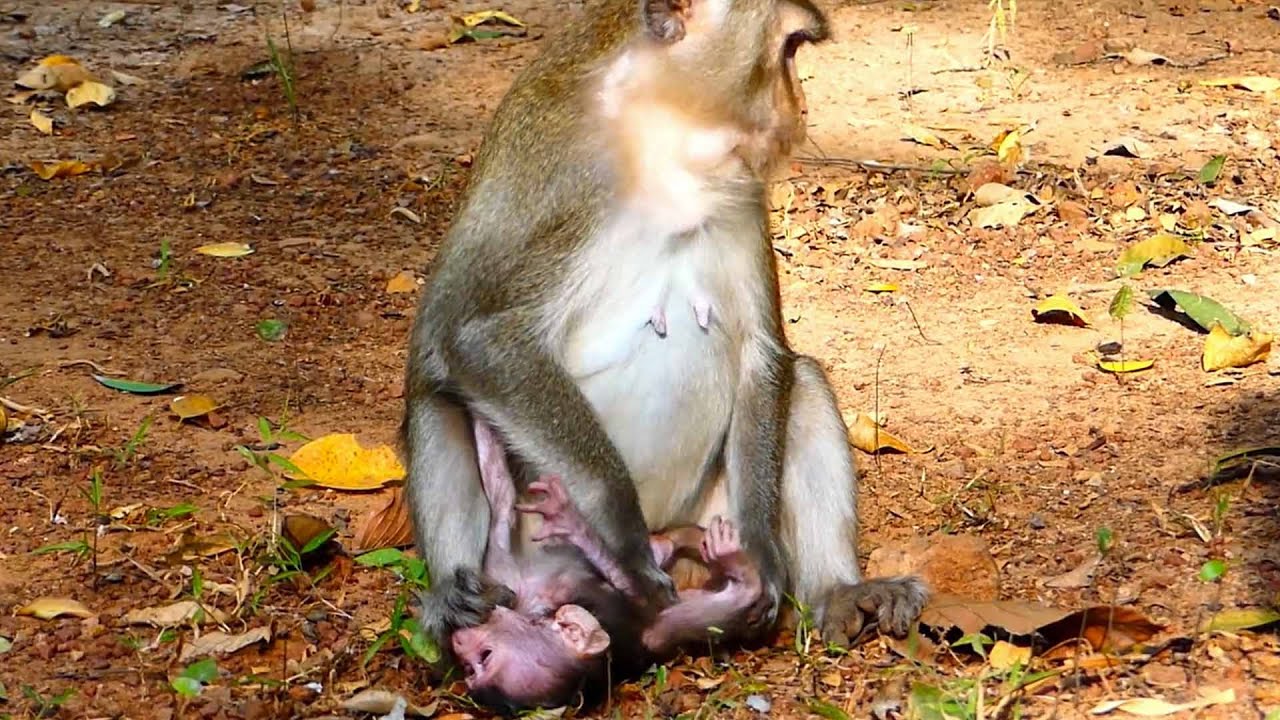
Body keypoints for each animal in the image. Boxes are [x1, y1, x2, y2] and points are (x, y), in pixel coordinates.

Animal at [402, 0, 930, 671]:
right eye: (787, 51)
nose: (799, 105)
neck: (663, 136)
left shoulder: (740, 187)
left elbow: (764, 354)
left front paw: (764, 555)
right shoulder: (565, 180)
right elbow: (476, 339)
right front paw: (622, 535)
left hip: (703, 524)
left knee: (803, 379)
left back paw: (835, 591)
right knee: (439, 398)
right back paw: (457, 601)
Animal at [454, 415, 761, 711]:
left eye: (484, 657)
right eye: (470, 670)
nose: (457, 644)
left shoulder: (518, 589)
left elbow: (502, 506)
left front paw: (567, 519)